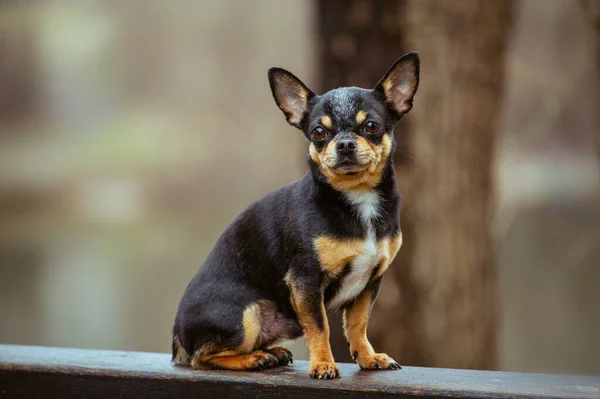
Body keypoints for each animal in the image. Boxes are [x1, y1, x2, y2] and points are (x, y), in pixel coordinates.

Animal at [171, 53, 420, 382]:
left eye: (371, 126)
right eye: (318, 132)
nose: (344, 143)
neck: (357, 199)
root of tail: (177, 336)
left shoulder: (369, 282)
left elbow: (357, 324)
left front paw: (367, 357)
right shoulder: (306, 281)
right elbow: (320, 326)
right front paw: (323, 364)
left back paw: (272, 353)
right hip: (246, 315)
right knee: (202, 357)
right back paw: (252, 359)